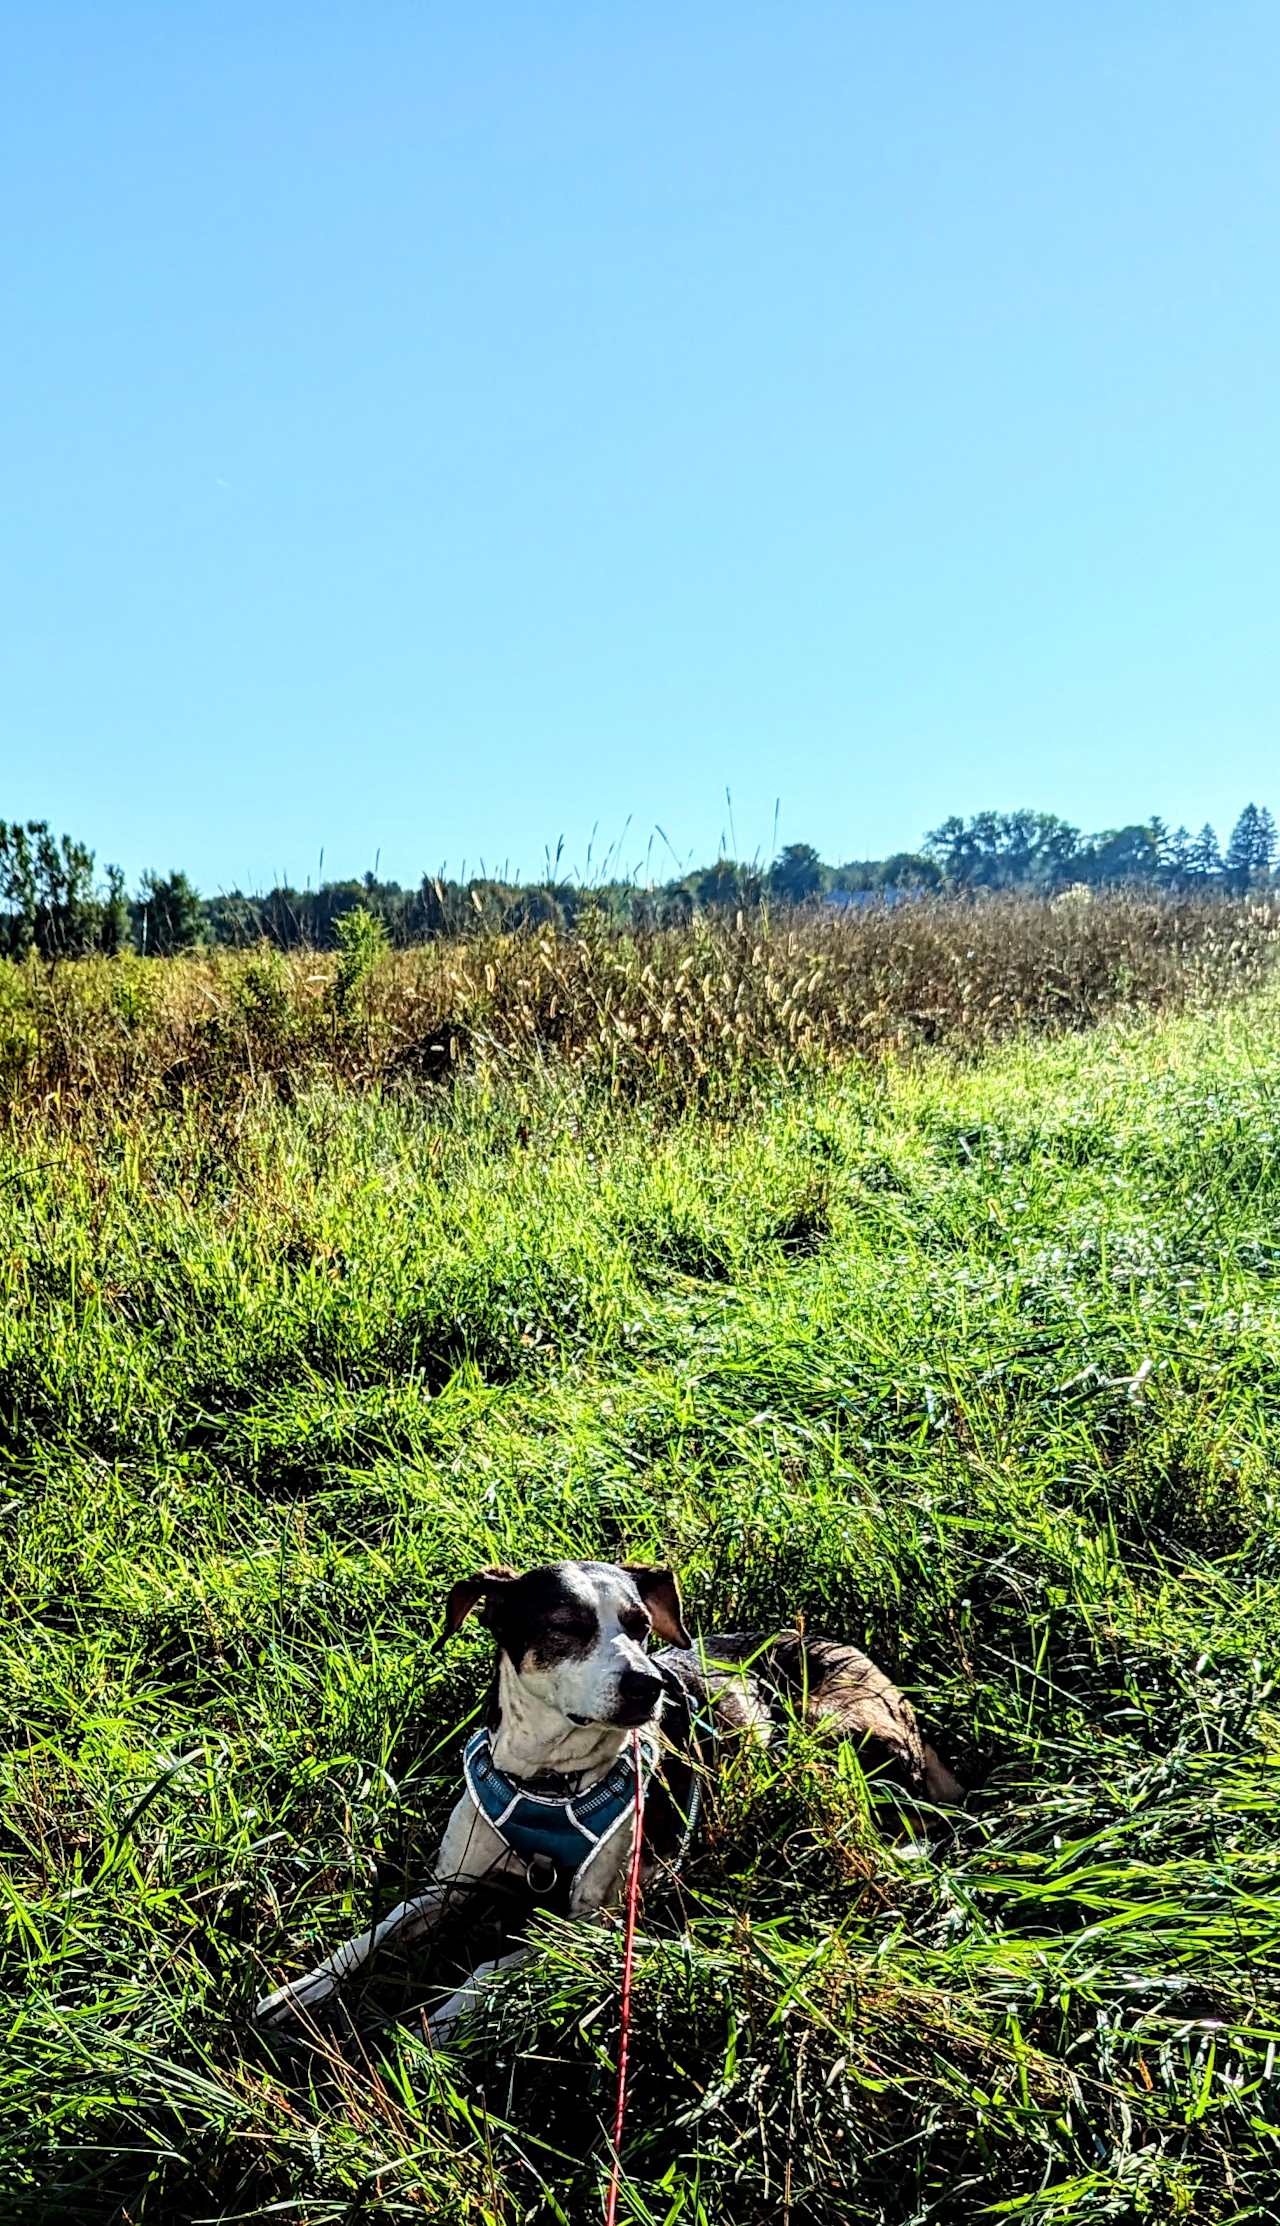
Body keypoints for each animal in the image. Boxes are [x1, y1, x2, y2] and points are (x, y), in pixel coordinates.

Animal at [258, 1558, 961, 2039]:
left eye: (640, 1625)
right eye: (566, 1627)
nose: (650, 1686)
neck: (548, 1780)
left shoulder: (594, 1919)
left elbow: (498, 1963)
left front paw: (447, 2017)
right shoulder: (451, 1883)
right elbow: (375, 1932)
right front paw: (299, 1990)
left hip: (834, 1736)